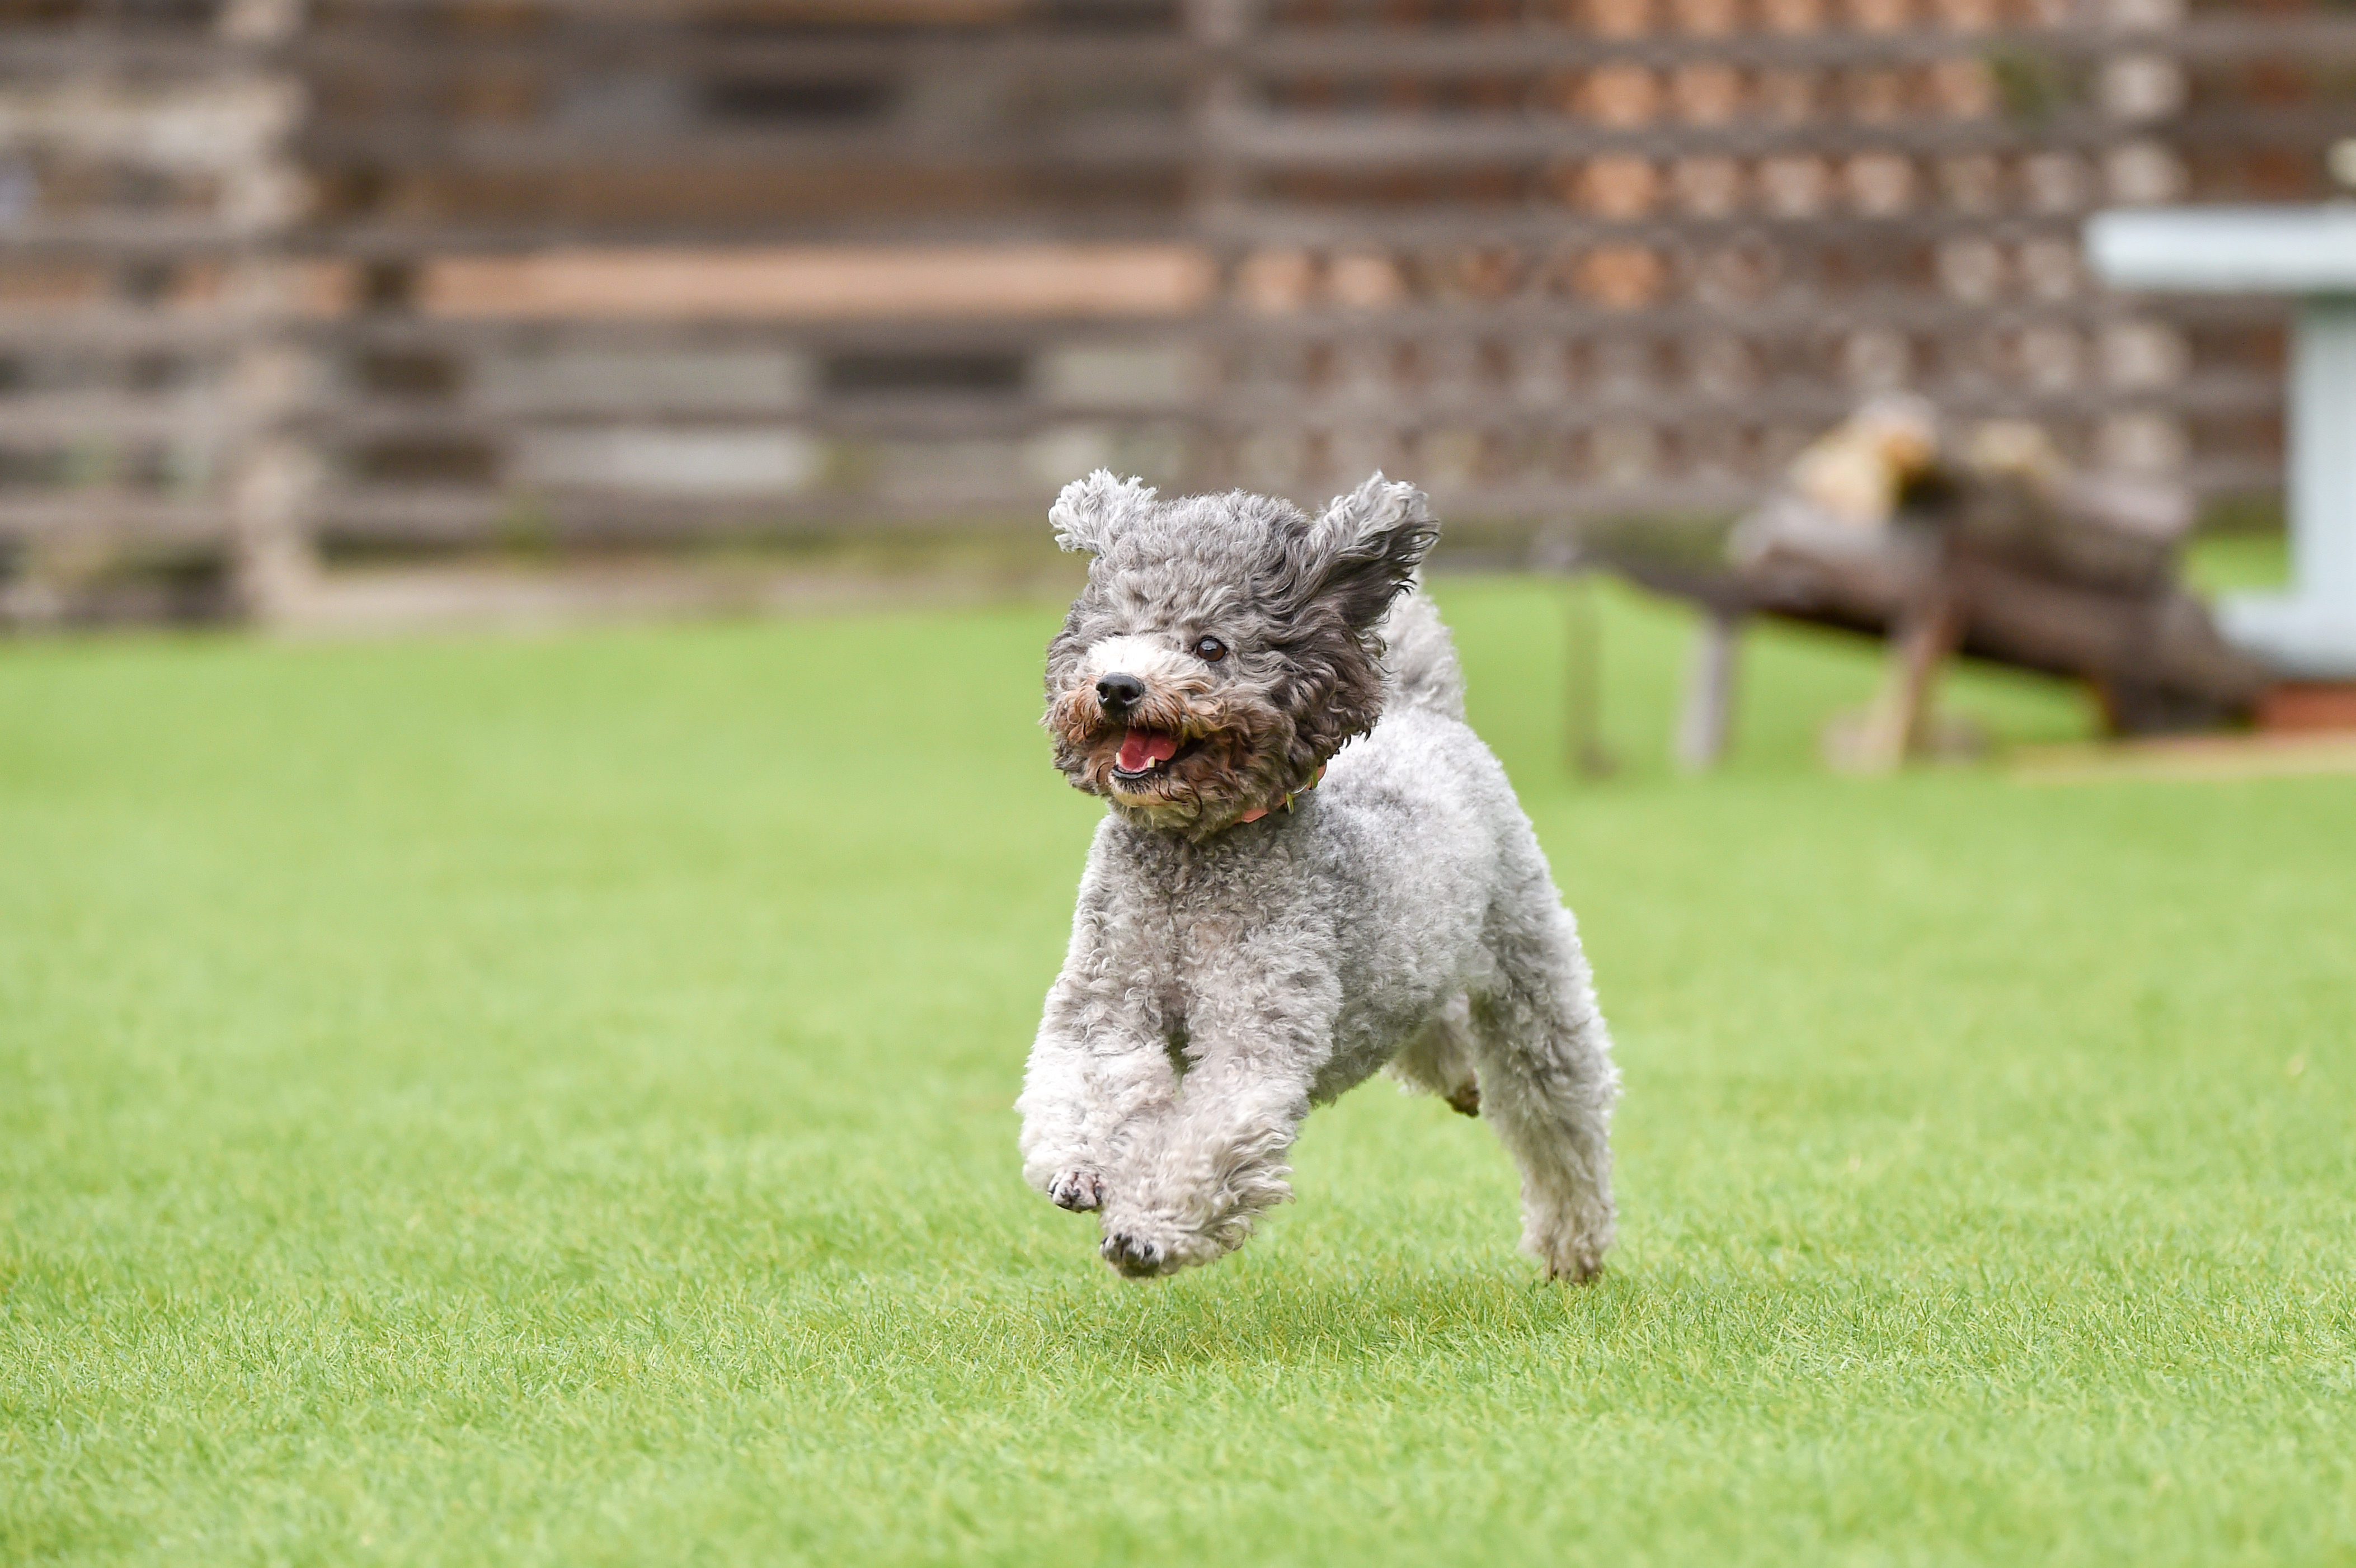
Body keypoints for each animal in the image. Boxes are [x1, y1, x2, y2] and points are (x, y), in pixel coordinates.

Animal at [1018, 470, 1621, 1280]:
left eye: (1209, 646)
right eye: (1112, 634)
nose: (1116, 685)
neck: (1191, 854)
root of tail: (1425, 710)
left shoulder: (1256, 1036)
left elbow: (1213, 1130)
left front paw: (1147, 1230)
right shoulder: (1103, 996)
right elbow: (1088, 1078)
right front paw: (1081, 1168)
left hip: (1528, 965)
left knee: (1555, 1110)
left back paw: (1572, 1245)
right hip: (1412, 967)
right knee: (1434, 1024)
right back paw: (1461, 1078)